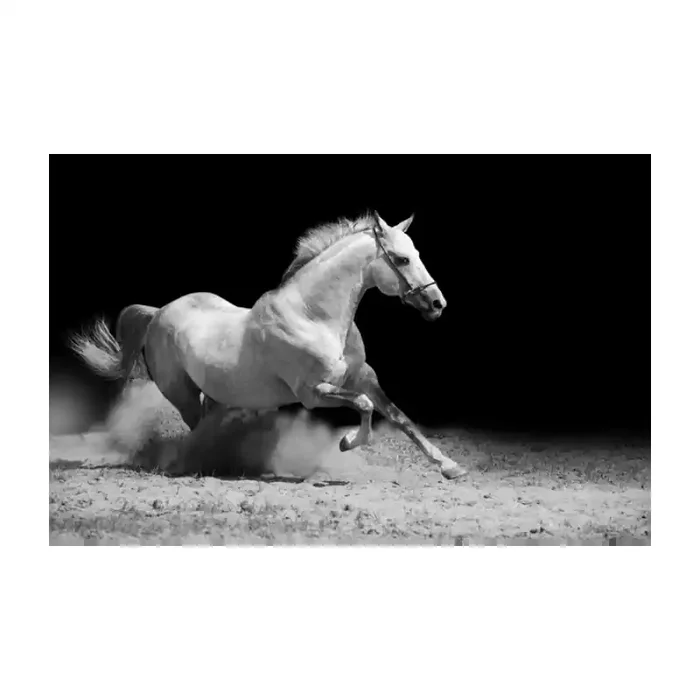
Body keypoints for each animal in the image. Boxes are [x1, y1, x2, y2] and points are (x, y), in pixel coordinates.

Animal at [70, 211, 469, 479]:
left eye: (417, 253)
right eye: (401, 259)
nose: (438, 304)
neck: (313, 317)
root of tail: (158, 313)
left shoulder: (363, 378)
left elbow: (399, 417)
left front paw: (450, 466)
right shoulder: (313, 393)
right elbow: (366, 406)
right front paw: (346, 442)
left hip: (214, 394)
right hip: (180, 393)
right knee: (197, 428)